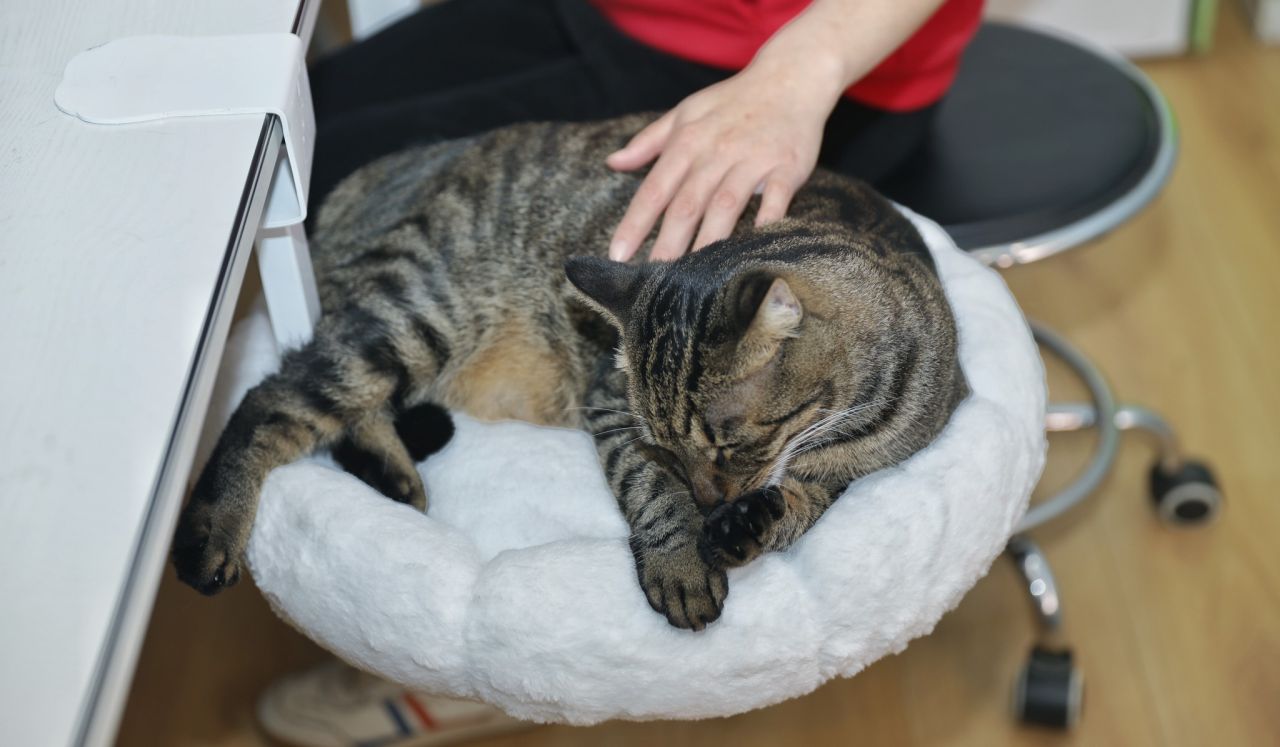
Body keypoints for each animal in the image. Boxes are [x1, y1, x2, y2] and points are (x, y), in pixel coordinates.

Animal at [175, 113, 962, 629]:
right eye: (667, 446)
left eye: (727, 441)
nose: (710, 498)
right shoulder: (611, 402)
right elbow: (651, 491)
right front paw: (682, 557)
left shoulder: (854, 465)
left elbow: (806, 502)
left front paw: (750, 520)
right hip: (417, 314)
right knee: (272, 396)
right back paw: (210, 536)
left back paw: (391, 471)